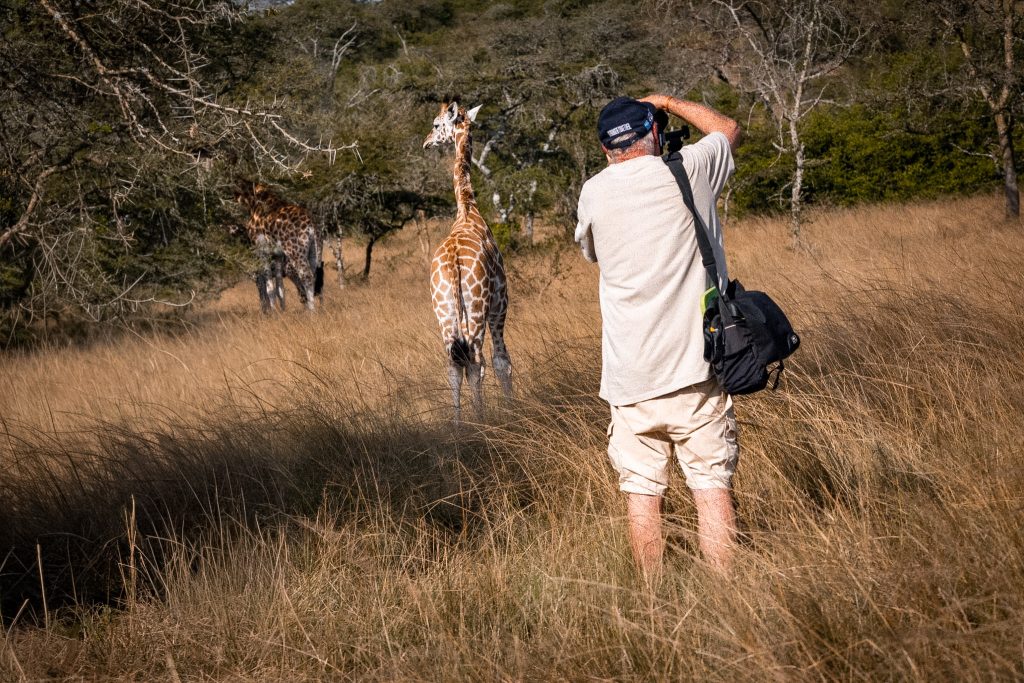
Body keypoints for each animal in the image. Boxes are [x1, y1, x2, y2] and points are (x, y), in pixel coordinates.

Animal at [235, 182, 325, 313]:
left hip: (296, 253)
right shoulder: (278, 255)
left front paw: (273, 312)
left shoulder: (262, 251)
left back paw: (311, 311)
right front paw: (282, 311)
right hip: (314, 251)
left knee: (306, 277)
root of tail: (311, 225)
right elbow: (279, 287)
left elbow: (268, 289)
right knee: (314, 277)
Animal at [423, 101, 513, 421]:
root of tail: (452, 263)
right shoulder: (500, 303)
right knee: (475, 361)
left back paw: (460, 424)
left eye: (436, 125)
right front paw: (515, 409)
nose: (426, 142)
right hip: (476, 309)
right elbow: (501, 361)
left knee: (454, 365)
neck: (467, 209)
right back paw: (481, 421)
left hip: (444, 312)